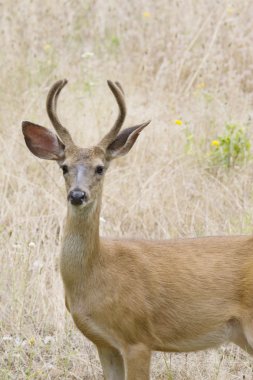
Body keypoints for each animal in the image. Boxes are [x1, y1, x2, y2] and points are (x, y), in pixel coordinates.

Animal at [21, 78, 253, 378]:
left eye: (100, 168)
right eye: (64, 167)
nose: (77, 195)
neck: (97, 271)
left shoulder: (138, 338)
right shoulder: (105, 344)